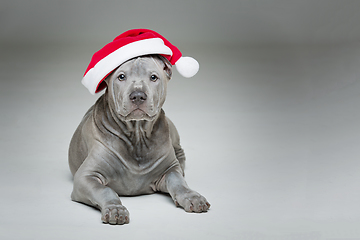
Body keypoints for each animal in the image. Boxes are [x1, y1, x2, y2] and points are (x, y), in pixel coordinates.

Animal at [68, 54, 210, 225]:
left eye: (153, 77)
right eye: (121, 76)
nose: (137, 96)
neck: (137, 135)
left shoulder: (169, 169)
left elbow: (178, 182)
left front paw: (192, 197)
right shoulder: (86, 177)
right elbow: (104, 190)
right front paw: (115, 208)